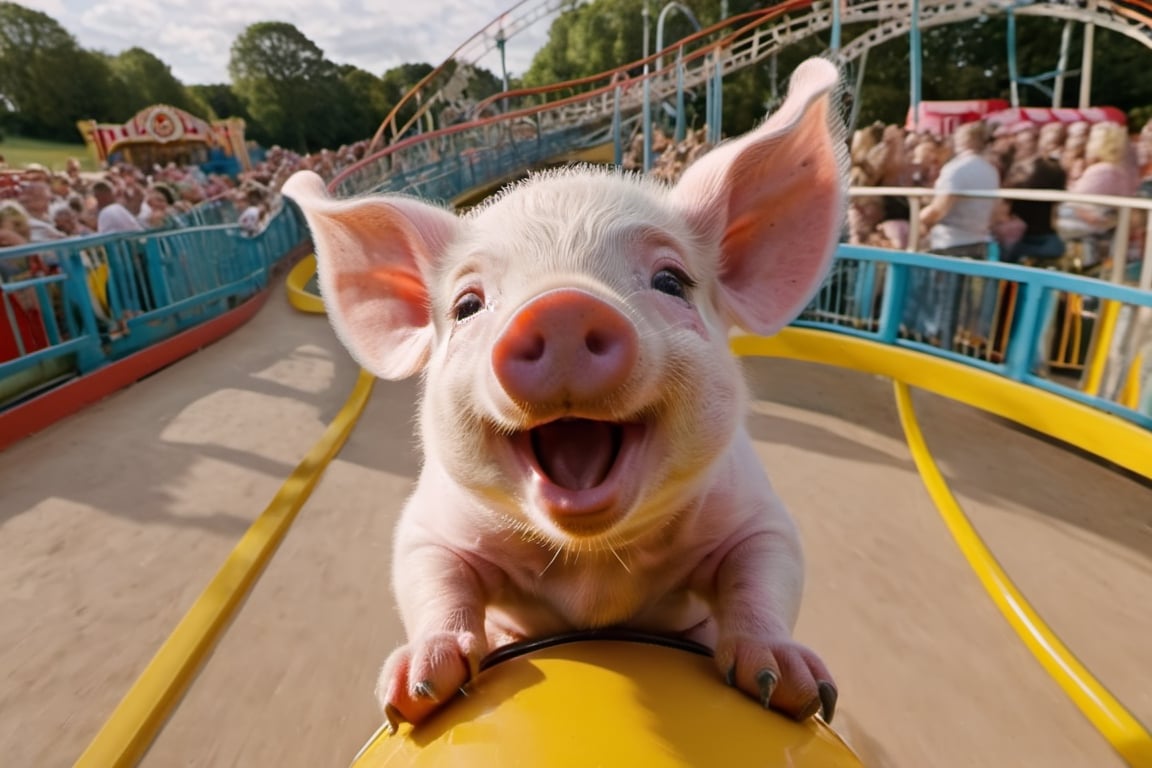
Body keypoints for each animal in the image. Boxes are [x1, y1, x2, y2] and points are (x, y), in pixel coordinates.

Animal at [283, 56, 848, 733]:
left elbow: (765, 572)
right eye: (467, 305)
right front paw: (411, 694)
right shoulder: (431, 525)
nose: (561, 307)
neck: (593, 571)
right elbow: (433, 577)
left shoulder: (755, 512)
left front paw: (794, 689)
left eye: (671, 281)